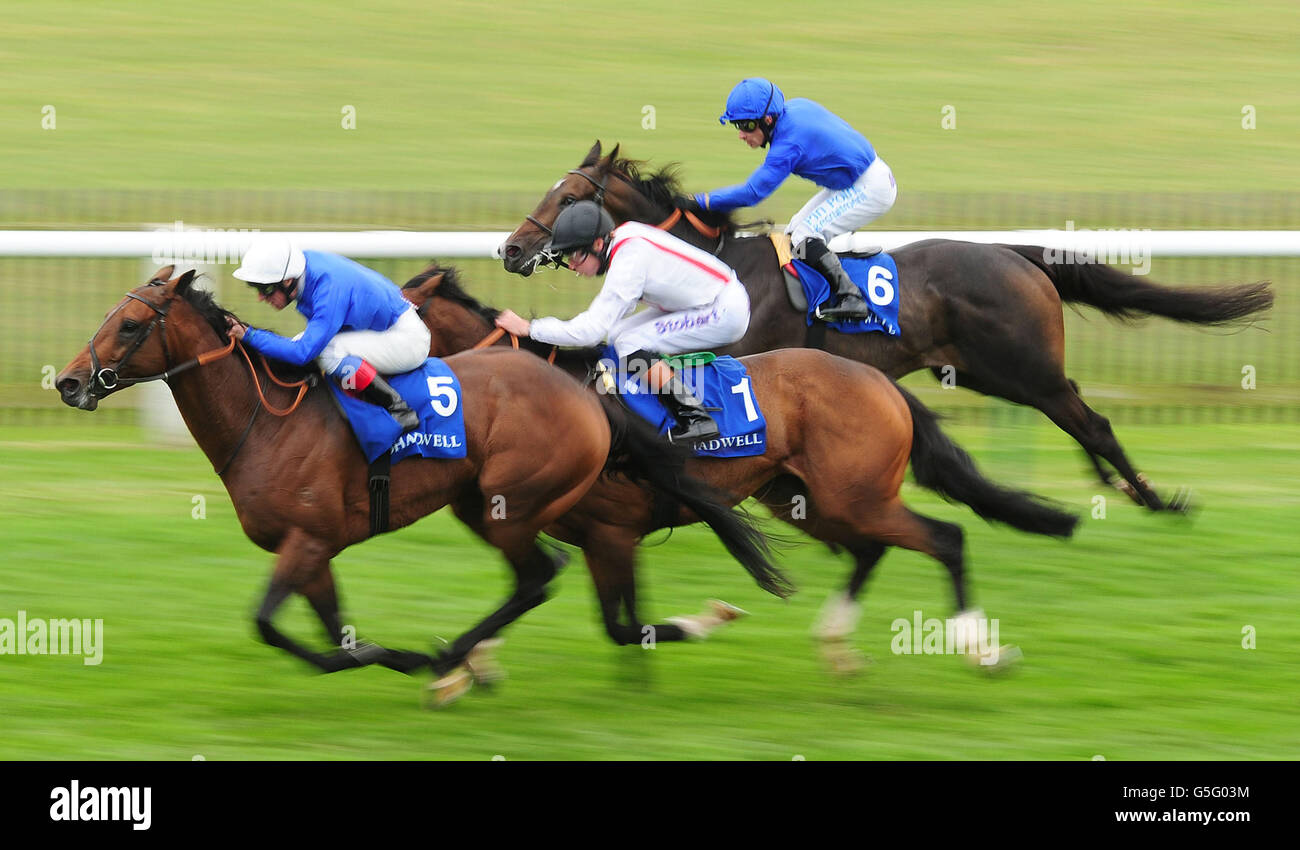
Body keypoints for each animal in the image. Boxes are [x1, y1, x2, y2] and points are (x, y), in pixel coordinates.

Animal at [53, 266, 780, 701]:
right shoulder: (311, 550)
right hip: (479, 504)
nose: (66, 381)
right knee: (539, 578)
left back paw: (453, 658)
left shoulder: (307, 540)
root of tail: (587, 395)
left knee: (539, 574)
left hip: (510, 503)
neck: (265, 422)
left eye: (128, 324)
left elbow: (269, 624)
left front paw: (414, 660)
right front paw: (393, 655)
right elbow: (335, 636)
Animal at [400, 262, 1081, 670]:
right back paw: (837, 643)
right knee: (871, 550)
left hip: (856, 496)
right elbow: (601, 614)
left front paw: (704, 621)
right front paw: (466, 668)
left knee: (946, 538)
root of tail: (878, 380)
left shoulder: (612, 532)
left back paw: (978, 648)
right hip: (801, 497)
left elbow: (624, 625)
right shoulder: (588, 535)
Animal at [501, 141, 1274, 512]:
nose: (509, 249)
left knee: (1094, 421)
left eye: (566, 196)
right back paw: (1122, 488)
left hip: (1025, 371)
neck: (724, 260)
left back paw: (1152, 498)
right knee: (1082, 420)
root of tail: (1016, 254)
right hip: (996, 376)